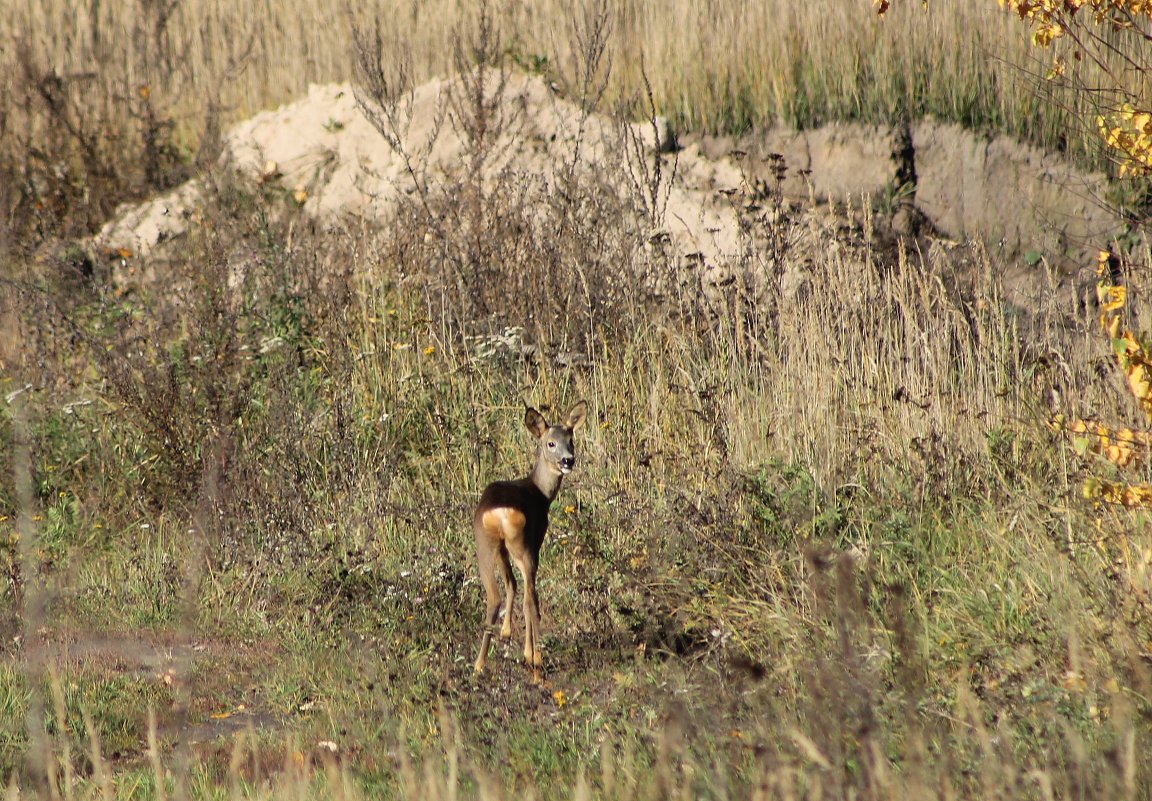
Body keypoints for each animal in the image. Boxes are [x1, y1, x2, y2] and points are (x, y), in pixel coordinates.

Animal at [472, 401, 589, 682]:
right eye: (550, 443)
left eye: (571, 440)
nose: (568, 460)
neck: (541, 493)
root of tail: (499, 511)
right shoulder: (536, 540)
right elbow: (527, 598)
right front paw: (530, 653)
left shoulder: (502, 549)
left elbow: (510, 584)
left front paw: (506, 632)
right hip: (523, 546)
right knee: (531, 601)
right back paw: (536, 661)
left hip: (486, 543)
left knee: (495, 594)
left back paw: (479, 664)